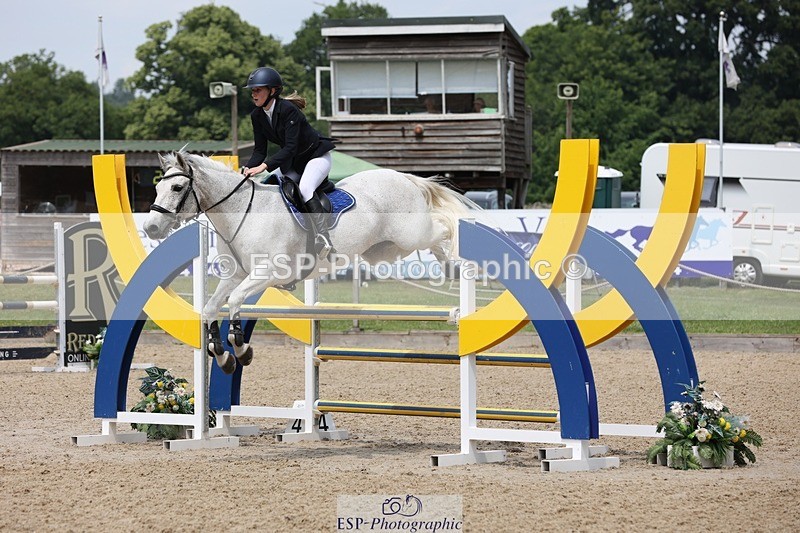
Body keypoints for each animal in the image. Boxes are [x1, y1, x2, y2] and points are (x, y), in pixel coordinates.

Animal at [143, 151, 474, 374]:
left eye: (176, 188)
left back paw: (455, 262)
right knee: (431, 238)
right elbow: (211, 308)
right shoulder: (236, 275)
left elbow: (236, 301)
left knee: (443, 227)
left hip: (411, 233)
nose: (151, 228)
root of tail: (403, 177)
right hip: (384, 250)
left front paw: (241, 348)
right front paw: (223, 356)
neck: (242, 213)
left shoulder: (270, 272)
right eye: (157, 188)